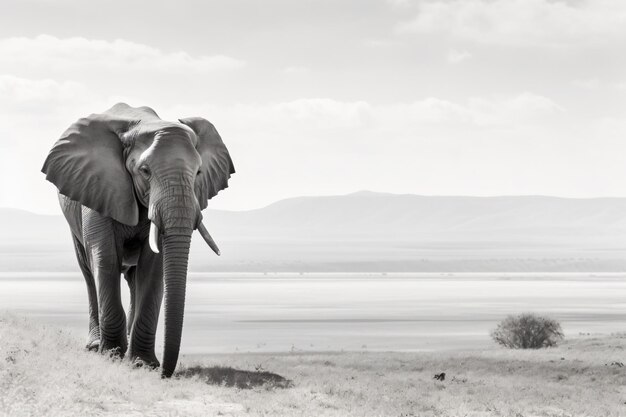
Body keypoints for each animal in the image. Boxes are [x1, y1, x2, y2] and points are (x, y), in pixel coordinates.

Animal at [40, 101, 234, 376]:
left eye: (198, 172)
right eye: (144, 171)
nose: (165, 373)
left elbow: (153, 268)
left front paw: (143, 364)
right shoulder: (100, 185)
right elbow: (105, 257)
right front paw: (111, 356)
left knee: (133, 280)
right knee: (88, 272)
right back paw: (95, 346)